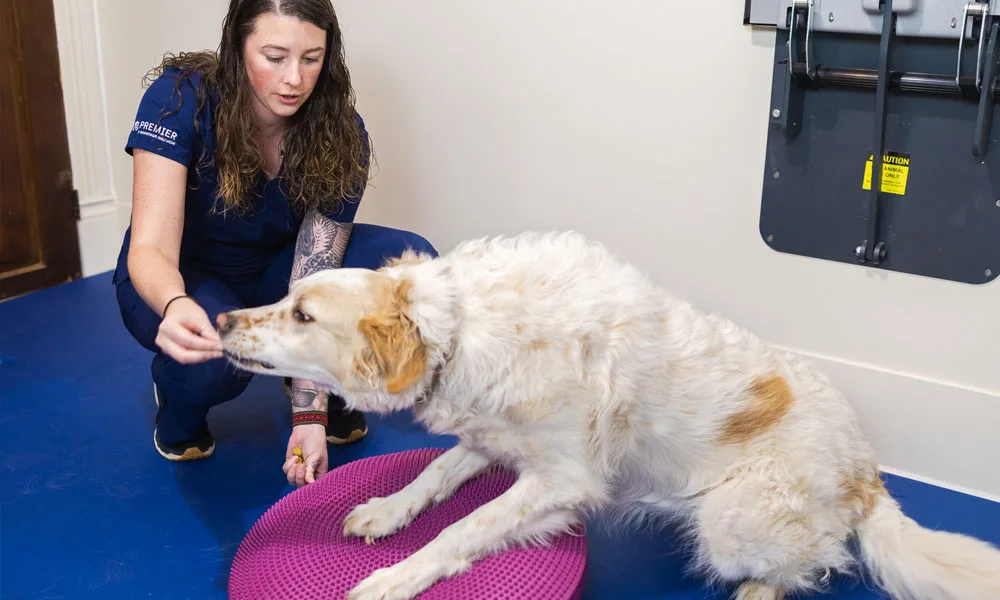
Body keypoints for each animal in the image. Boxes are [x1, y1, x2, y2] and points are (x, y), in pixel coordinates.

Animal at [219, 231, 1000, 600]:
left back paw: (760, 588)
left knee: (818, 562)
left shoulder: (562, 480)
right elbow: (432, 479)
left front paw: (396, 577)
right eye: (288, 297)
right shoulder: (494, 436)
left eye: (302, 314)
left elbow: (461, 529)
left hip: (730, 521)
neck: (464, 327)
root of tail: (866, 471)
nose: (222, 320)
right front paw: (385, 512)